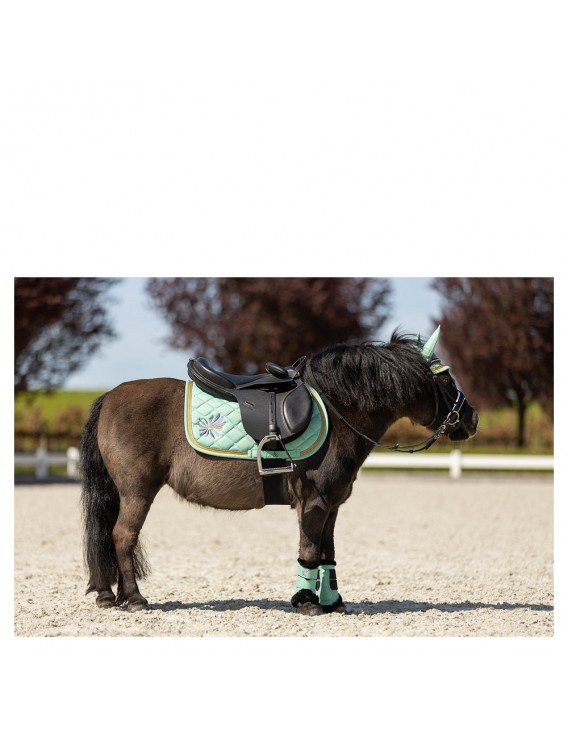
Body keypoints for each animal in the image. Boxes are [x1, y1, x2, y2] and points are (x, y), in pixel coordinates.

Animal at [80, 328, 478, 615]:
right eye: (445, 379)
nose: (472, 419)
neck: (337, 411)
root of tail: (109, 397)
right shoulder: (313, 503)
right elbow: (309, 550)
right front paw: (307, 602)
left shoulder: (332, 506)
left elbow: (327, 554)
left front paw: (332, 602)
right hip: (137, 491)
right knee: (122, 536)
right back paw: (133, 598)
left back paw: (110, 594)